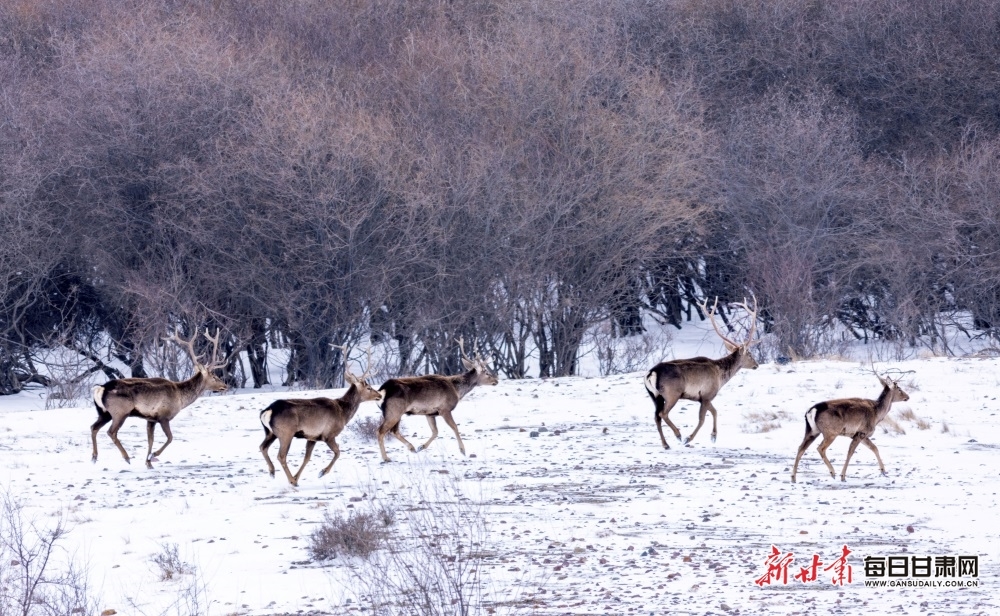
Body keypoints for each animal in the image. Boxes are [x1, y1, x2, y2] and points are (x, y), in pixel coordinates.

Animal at [91, 330, 228, 470]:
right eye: (214, 376)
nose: (225, 386)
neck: (180, 397)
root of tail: (100, 388)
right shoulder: (163, 416)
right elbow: (170, 438)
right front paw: (153, 456)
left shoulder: (151, 419)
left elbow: (150, 440)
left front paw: (148, 463)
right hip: (120, 412)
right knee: (111, 432)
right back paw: (126, 457)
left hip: (104, 413)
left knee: (93, 427)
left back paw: (94, 457)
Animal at [258, 352, 382, 486]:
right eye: (368, 387)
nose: (380, 395)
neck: (343, 412)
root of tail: (267, 411)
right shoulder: (329, 434)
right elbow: (338, 452)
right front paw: (322, 472)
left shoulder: (312, 437)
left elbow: (307, 458)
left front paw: (297, 477)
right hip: (286, 433)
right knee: (281, 455)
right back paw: (291, 481)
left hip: (270, 432)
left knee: (262, 447)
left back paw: (273, 472)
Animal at [644, 298, 760, 448]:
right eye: (750, 354)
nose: (756, 365)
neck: (720, 375)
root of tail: (651, 373)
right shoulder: (707, 394)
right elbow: (702, 419)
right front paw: (689, 438)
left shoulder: (703, 397)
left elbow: (715, 411)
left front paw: (714, 436)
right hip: (672, 393)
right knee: (663, 414)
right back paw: (678, 435)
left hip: (654, 395)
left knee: (656, 416)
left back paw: (665, 444)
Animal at [788, 370, 916, 482]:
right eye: (899, 388)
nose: (908, 396)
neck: (877, 414)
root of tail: (811, 411)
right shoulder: (861, 432)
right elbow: (851, 452)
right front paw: (843, 476)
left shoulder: (860, 435)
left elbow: (874, 448)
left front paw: (883, 471)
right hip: (830, 432)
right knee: (820, 448)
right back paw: (832, 472)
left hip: (812, 431)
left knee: (801, 448)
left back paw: (793, 477)